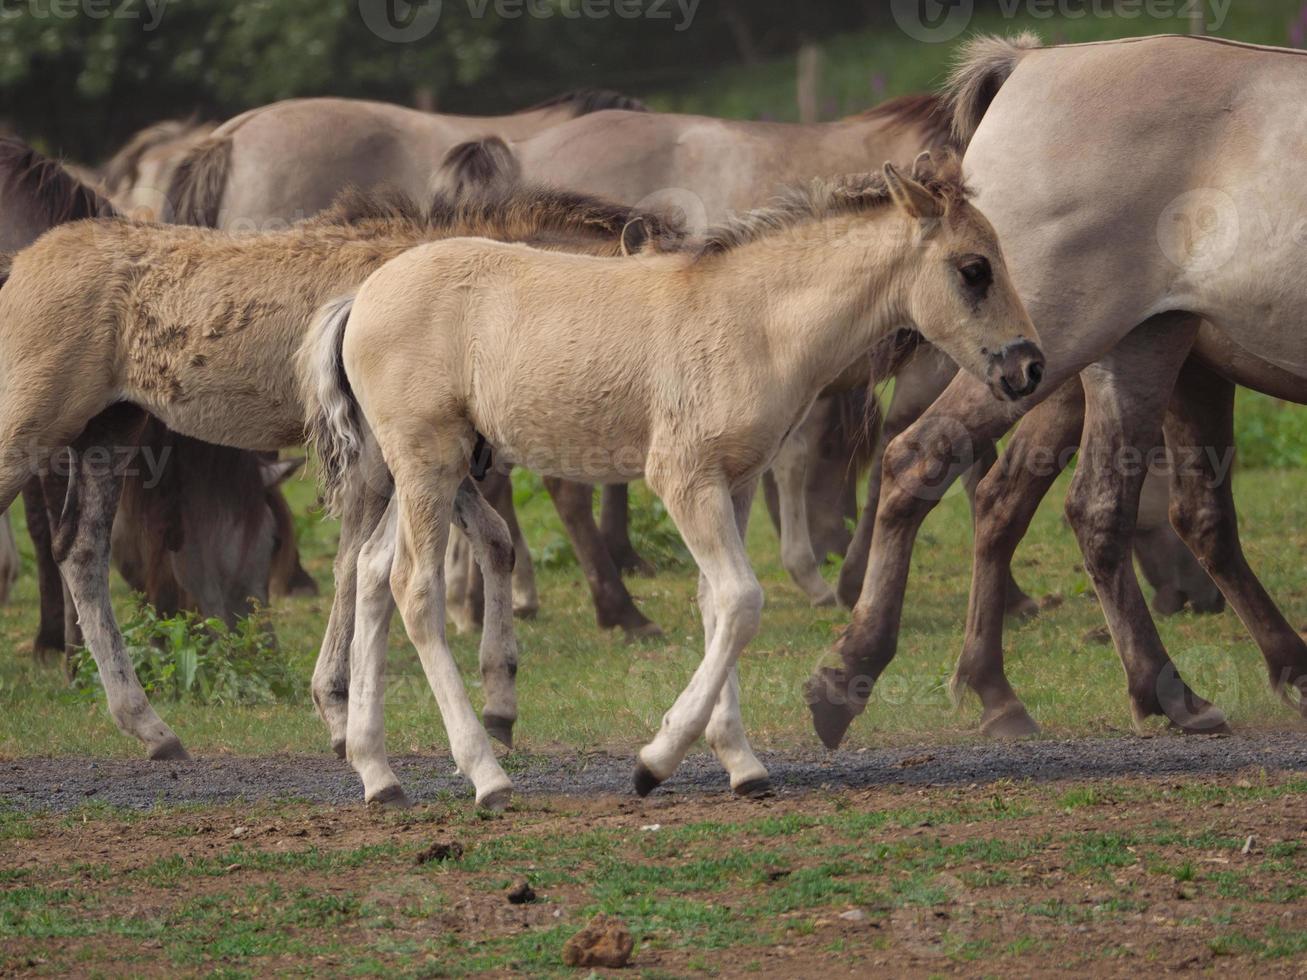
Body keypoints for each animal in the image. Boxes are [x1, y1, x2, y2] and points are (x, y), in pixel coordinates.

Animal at [303, 157, 1040, 810]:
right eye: (973, 270)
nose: (1029, 367)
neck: (754, 321)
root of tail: (359, 298)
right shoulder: (683, 479)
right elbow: (741, 599)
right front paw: (654, 762)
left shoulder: (735, 483)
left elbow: (716, 605)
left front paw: (742, 764)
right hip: (429, 464)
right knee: (413, 589)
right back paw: (486, 775)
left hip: (417, 473)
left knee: (371, 573)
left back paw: (378, 773)